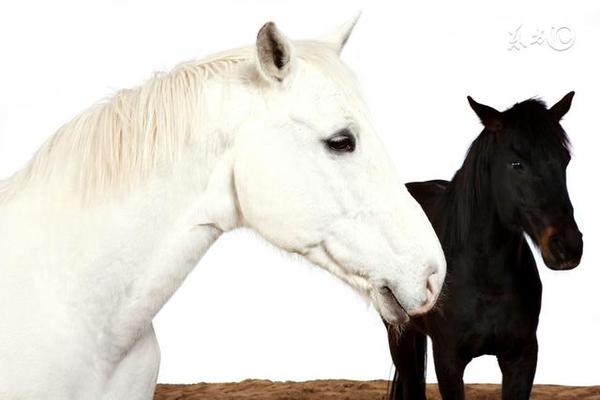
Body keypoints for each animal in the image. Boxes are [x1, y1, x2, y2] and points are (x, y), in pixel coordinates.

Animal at [390, 93, 580, 400]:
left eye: (565, 160)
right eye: (517, 164)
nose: (568, 246)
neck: (485, 278)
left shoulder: (522, 358)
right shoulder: (448, 361)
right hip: (401, 336)